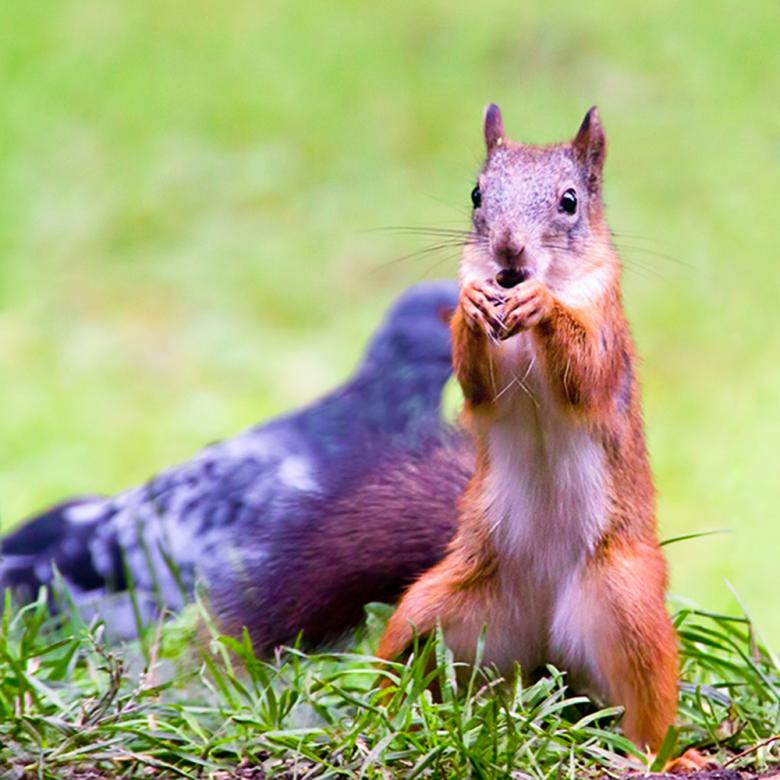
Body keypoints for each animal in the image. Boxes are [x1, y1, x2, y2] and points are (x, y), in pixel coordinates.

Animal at [377, 105, 679, 755]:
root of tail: (540, 646)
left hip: (626, 601)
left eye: (569, 201)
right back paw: (389, 718)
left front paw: (542, 304)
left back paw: (663, 755)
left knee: (649, 704)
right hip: (437, 602)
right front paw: (471, 303)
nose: (508, 250)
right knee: (402, 659)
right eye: (476, 194)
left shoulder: (605, 324)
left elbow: (585, 375)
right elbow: (479, 387)